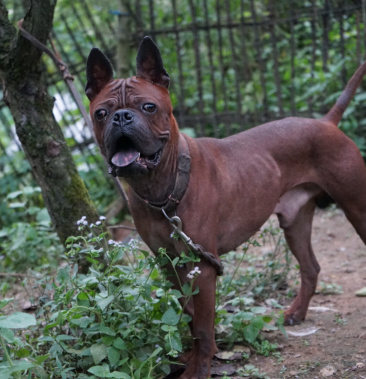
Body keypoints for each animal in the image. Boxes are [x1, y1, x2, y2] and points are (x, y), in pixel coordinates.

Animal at [86, 36, 366, 379]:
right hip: (295, 222)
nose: (122, 117)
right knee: (310, 267)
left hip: (358, 210)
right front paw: (192, 355)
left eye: (148, 107)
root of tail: (327, 122)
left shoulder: (204, 267)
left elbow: (203, 327)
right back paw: (297, 312)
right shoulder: (171, 264)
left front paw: (200, 368)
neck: (166, 185)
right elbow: (190, 315)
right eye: (101, 113)